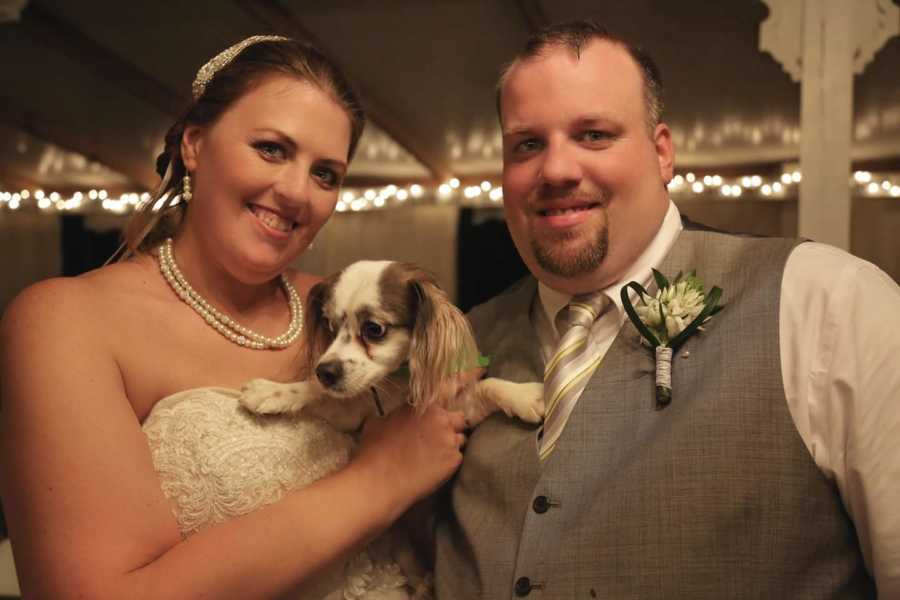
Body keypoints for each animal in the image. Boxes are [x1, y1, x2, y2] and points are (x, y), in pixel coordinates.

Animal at [237, 262, 540, 600]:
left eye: (374, 329)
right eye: (330, 325)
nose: (325, 371)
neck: (397, 385)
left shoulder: (457, 408)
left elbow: (490, 386)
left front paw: (526, 395)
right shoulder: (352, 413)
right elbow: (316, 393)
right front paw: (272, 392)